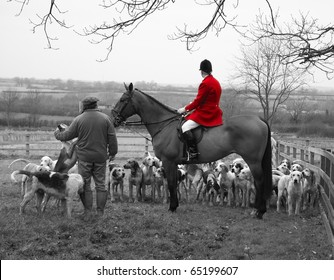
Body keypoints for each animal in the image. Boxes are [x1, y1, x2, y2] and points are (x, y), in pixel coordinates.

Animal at [112, 83, 272, 219]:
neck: (164, 125)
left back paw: (259, 211)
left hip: (253, 161)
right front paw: (175, 205)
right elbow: (173, 183)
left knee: (259, 181)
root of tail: (259, 119)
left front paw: (172, 207)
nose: (114, 119)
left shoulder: (169, 161)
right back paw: (257, 210)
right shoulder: (173, 163)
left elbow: (171, 183)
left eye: (123, 99)